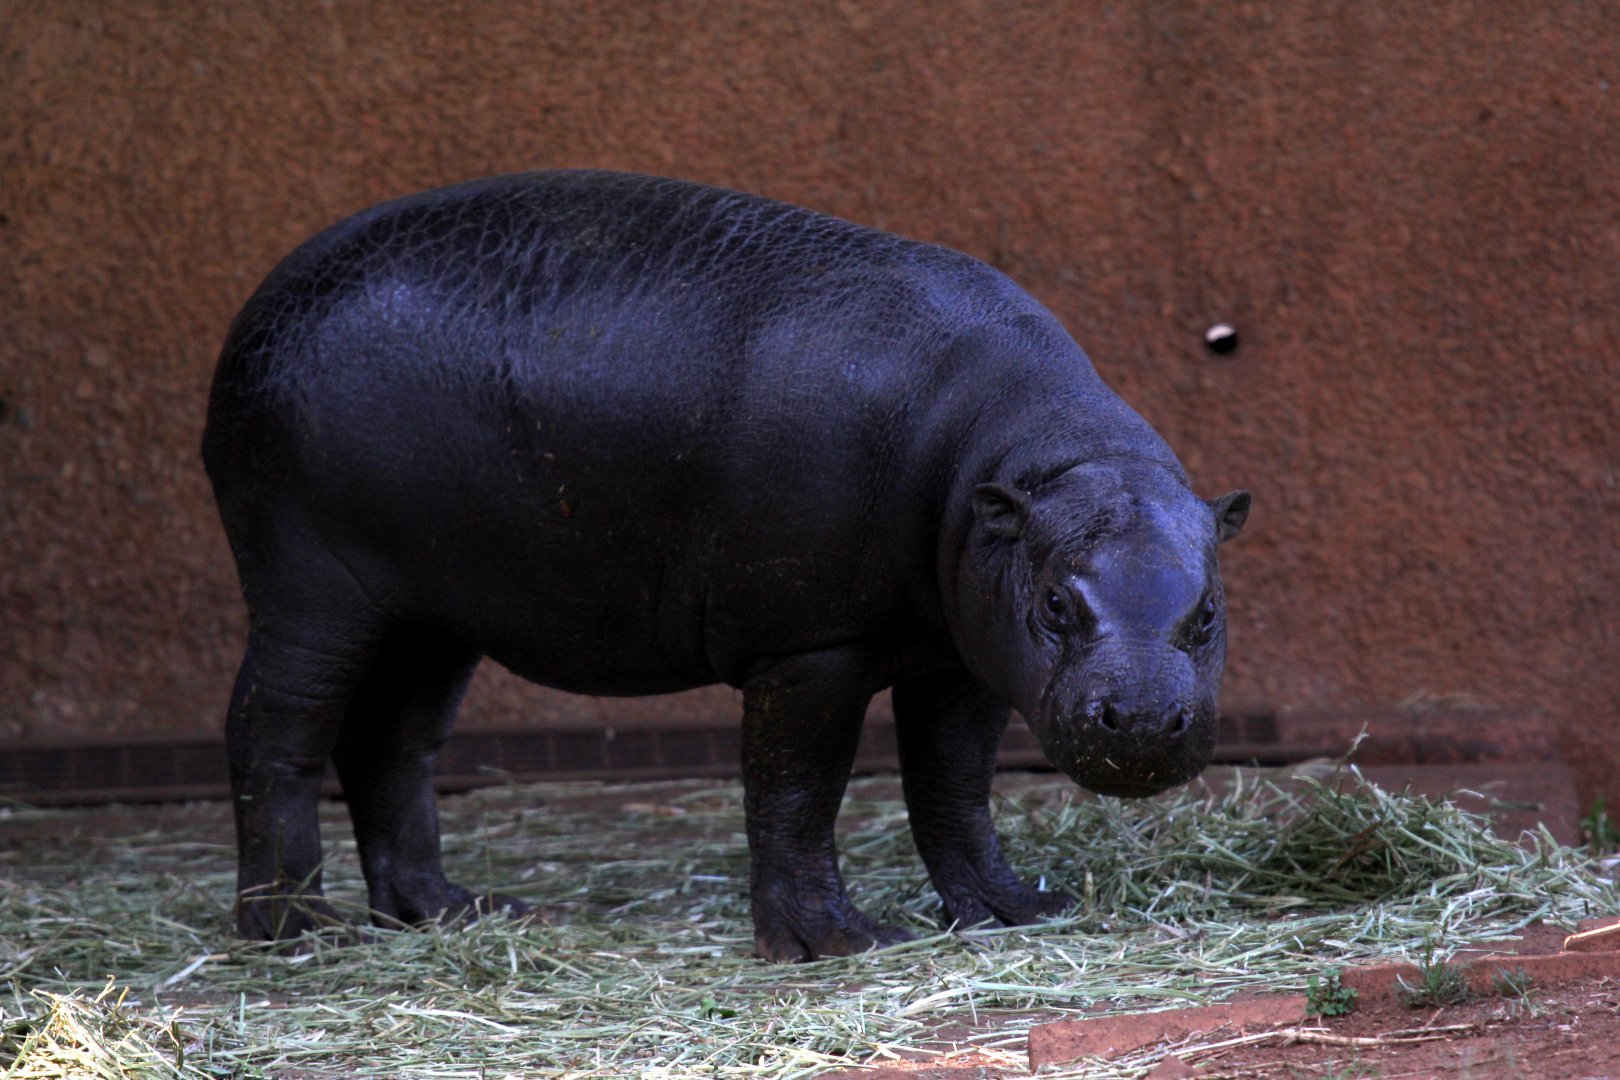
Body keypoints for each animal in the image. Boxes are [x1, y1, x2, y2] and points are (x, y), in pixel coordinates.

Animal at [201, 170, 1249, 962]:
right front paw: (838, 943)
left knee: (392, 744)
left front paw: (1014, 912)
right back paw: (299, 930)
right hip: (312, 588)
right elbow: (796, 788)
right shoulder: (812, 646)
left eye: (1207, 613)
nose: (1143, 719)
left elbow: (952, 787)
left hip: (432, 609)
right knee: (273, 727)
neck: (1029, 459)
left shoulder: (965, 655)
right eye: (1059, 602)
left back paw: (455, 911)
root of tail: (257, 309)